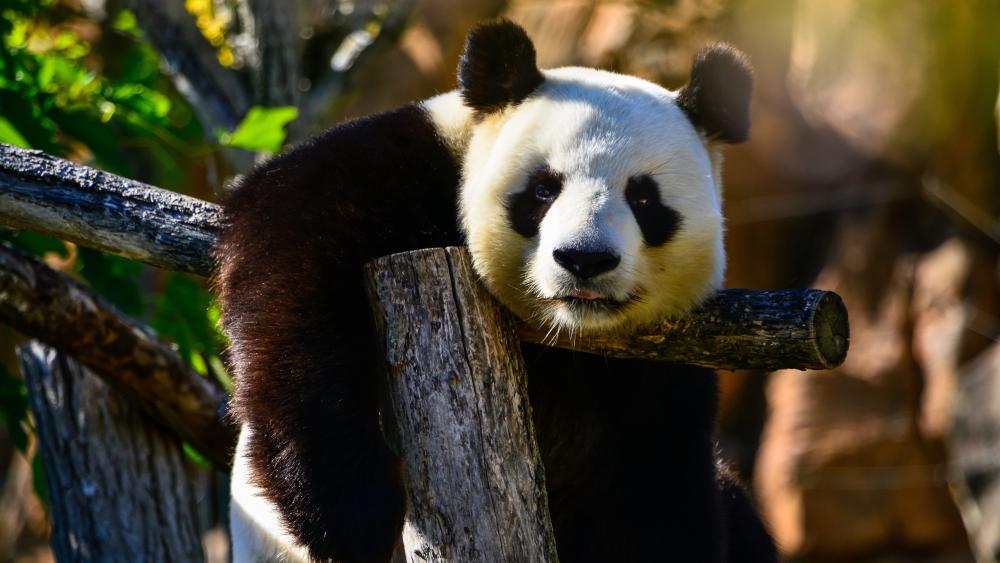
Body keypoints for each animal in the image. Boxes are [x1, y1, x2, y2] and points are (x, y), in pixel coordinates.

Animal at [217, 19, 778, 563]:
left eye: (643, 198)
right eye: (544, 189)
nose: (584, 259)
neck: (565, 338)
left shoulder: (660, 380)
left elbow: (656, 493)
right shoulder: (399, 169)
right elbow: (291, 272)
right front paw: (352, 516)